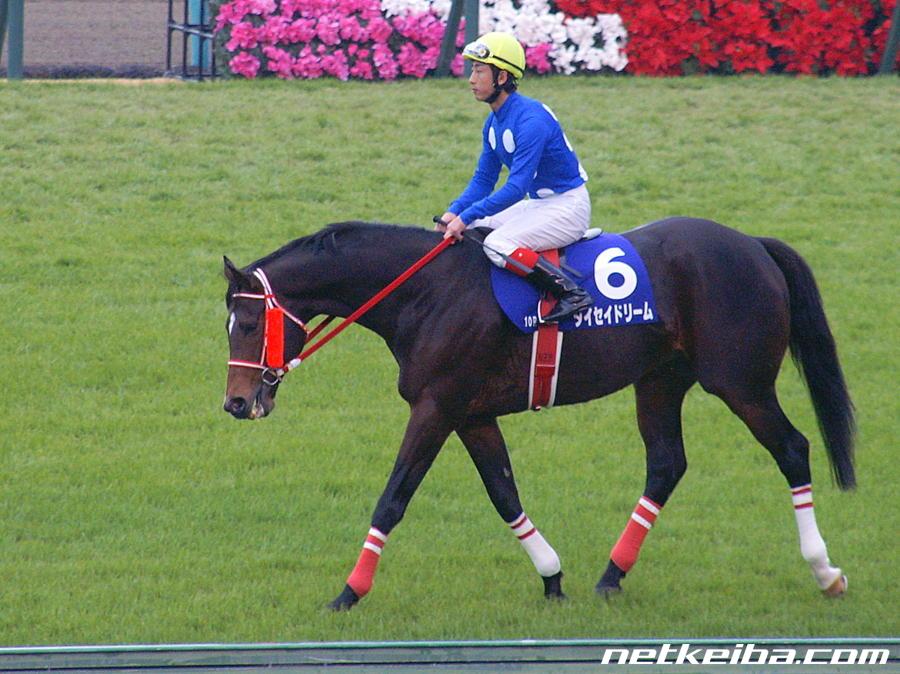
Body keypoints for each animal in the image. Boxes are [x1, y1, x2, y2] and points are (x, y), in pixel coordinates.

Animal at [222, 217, 855, 611]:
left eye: (248, 324)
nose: (236, 403)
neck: (425, 291)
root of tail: (752, 242)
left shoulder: (436, 406)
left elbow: (393, 498)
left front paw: (349, 592)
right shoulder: (470, 414)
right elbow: (505, 494)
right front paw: (552, 578)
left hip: (740, 382)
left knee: (792, 448)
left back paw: (825, 571)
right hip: (659, 380)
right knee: (666, 465)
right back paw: (610, 576)